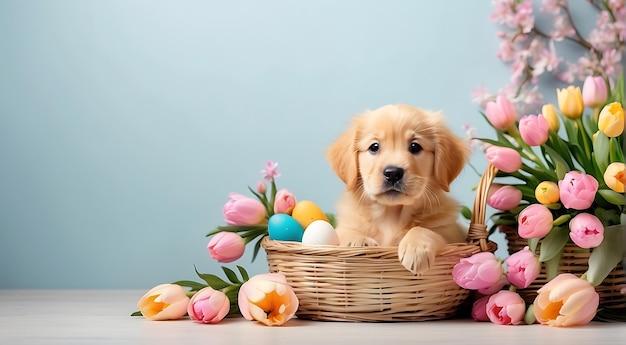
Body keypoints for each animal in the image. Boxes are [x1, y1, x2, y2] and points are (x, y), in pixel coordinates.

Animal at [326, 104, 468, 274]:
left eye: (415, 146)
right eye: (374, 147)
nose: (393, 173)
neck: (391, 216)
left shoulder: (452, 234)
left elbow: (426, 231)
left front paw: (417, 249)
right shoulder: (345, 225)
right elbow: (342, 232)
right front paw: (358, 241)